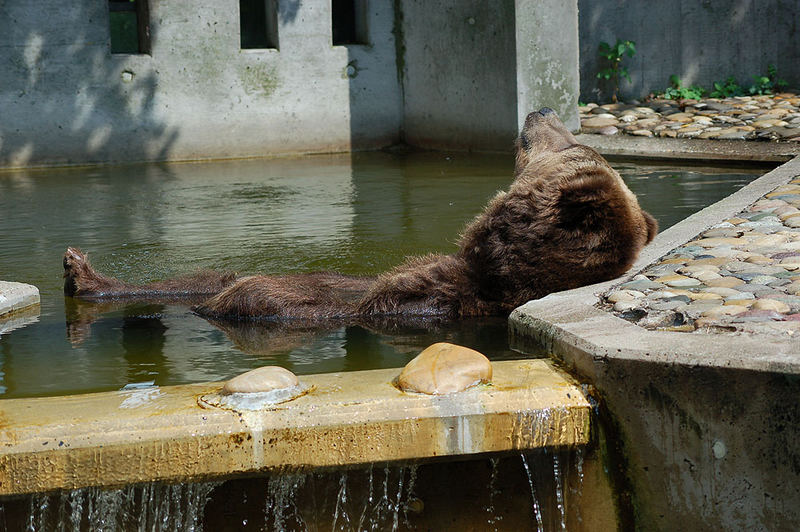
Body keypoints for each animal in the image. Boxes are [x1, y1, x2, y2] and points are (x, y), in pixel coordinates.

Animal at [64, 106, 656, 318]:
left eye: (577, 146)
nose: (543, 109)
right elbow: (222, 280)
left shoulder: (417, 301)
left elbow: (265, 296)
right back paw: (79, 270)